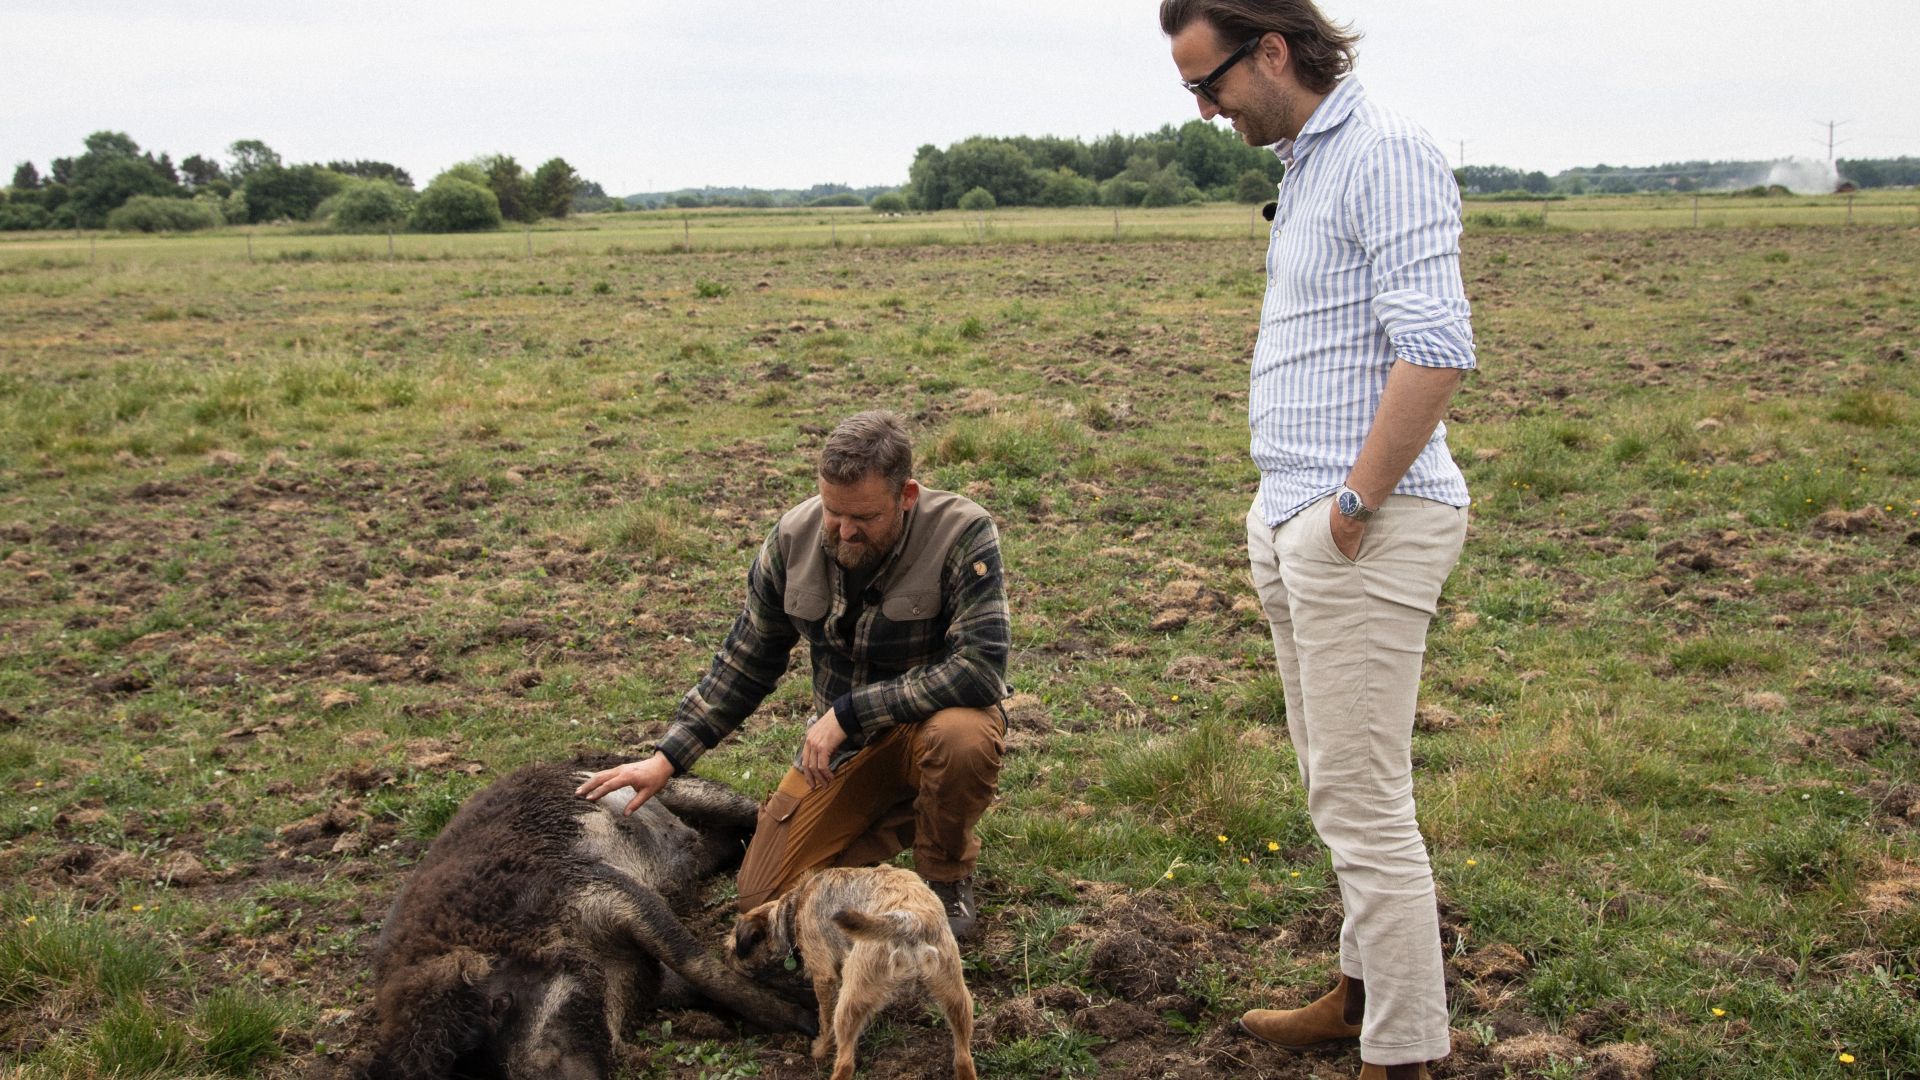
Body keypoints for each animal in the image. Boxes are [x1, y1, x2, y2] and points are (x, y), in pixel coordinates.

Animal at [729, 860, 983, 1076]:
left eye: (733, 949)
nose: (729, 963)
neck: (795, 906)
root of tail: (909, 920)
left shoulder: (824, 976)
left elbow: (824, 1020)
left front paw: (820, 1049)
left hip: (849, 1002)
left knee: (844, 1062)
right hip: (957, 997)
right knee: (964, 1059)